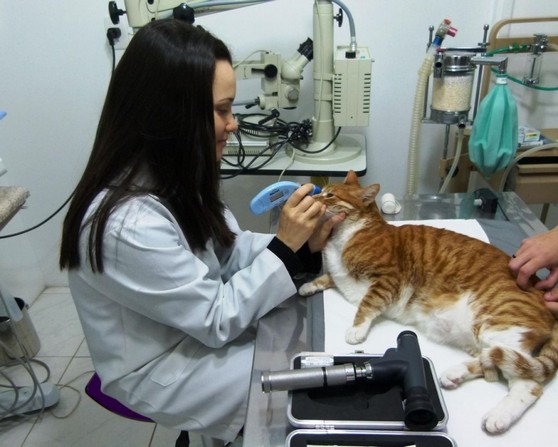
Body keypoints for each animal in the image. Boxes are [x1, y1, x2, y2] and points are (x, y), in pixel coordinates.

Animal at [302, 171, 558, 434]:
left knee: (528, 383)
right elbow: (328, 277)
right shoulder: (341, 275)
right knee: (491, 362)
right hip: (488, 341)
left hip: (501, 328)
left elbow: (368, 304)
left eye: (330, 195)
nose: (313, 196)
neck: (344, 235)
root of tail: (541, 293)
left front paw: (356, 330)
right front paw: (308, 286)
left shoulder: (388, 279)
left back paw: (498, 417)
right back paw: (455, 374)